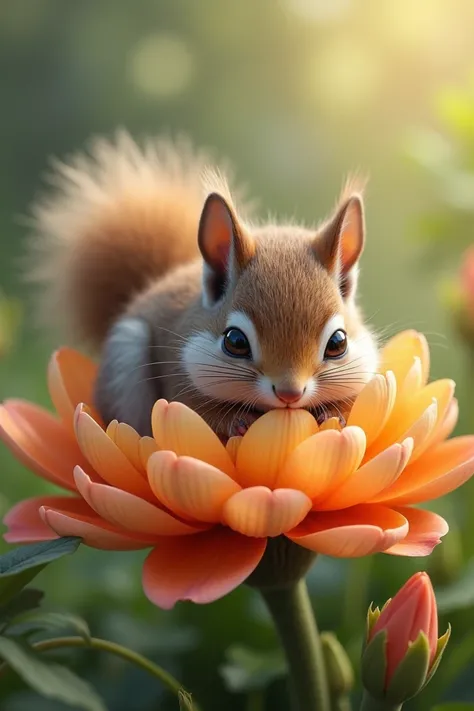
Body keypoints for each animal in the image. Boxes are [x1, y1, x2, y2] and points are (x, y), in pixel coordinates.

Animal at [28, 134, 378, 442]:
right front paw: (237, 421)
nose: (289, 393)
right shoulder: (178, 378)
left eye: (338, 342)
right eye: (235, 341)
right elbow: (197, 411)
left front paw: (332, 414)